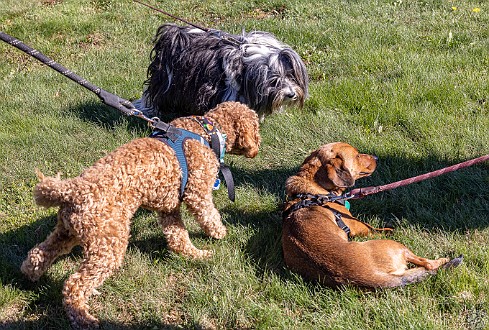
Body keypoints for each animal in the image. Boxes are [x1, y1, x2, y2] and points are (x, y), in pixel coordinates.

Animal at [282, 143, 462, 288]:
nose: (376, 157)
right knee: (427, 265)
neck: (314, 192)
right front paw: (389, 228)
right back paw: (443, 260)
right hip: (396, 245)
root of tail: (374, 277)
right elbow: (375, 228)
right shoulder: (357, 224)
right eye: (357, 155)